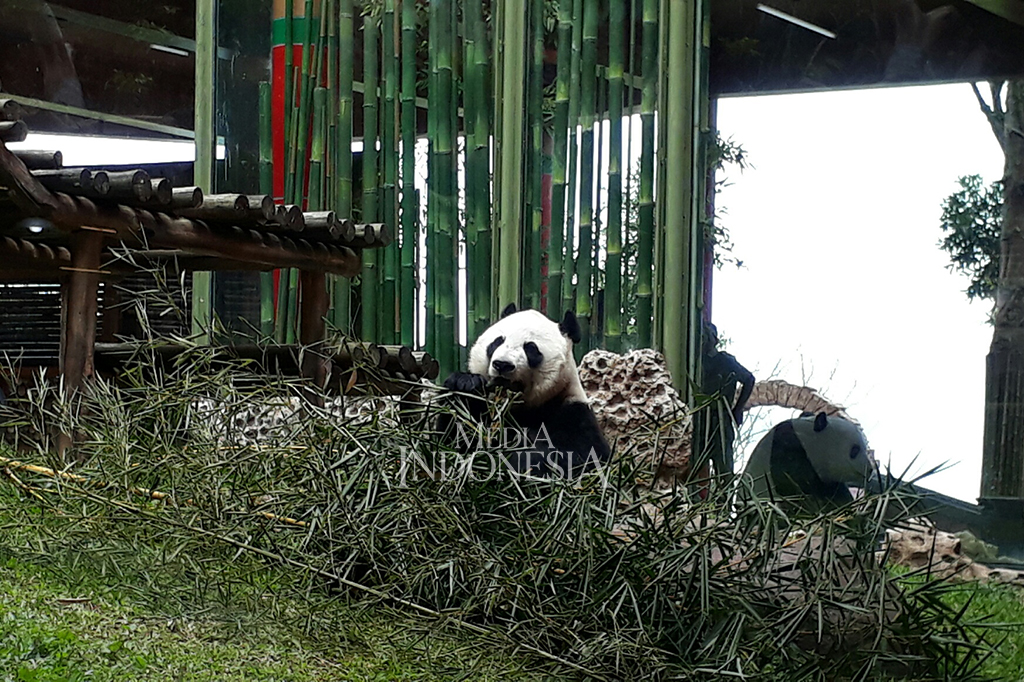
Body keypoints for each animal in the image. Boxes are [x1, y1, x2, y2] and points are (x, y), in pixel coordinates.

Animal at [437, 303, 611, 478]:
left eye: (531, 348)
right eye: (497, 341)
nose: (502, 364)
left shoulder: (572, 410)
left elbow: (584, 455)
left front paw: (512, 460)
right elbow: (452, 441)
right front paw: (465, 384)